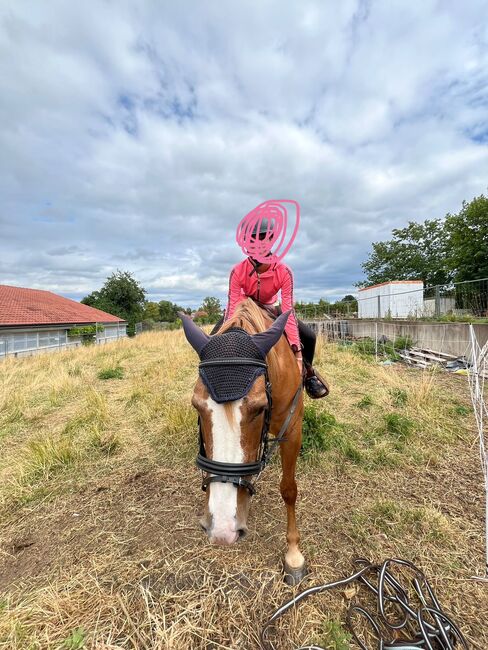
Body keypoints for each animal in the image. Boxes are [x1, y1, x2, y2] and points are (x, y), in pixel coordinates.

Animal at [180, 298, 307, 584]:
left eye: (259, 409)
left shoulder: (293, 431)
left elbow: (289, 489)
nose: (222, 529)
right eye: (196, 406)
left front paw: (293, 554)